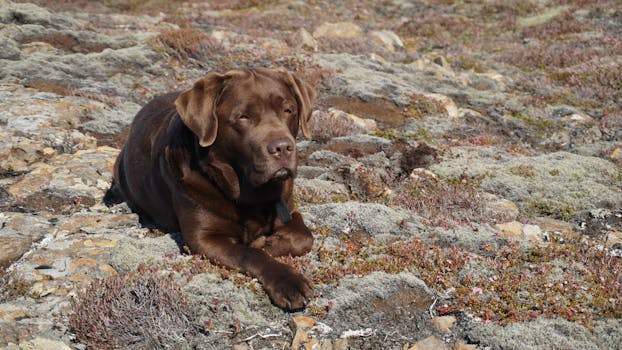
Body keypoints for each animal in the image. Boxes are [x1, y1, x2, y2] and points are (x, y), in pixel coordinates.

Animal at [111, 67, 314, 308]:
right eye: (243, 116)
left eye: (288, 110)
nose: (282, 147)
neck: (250, 194)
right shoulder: (205, 237)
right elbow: (249, 253)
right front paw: (287, 280)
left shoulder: (288, 207)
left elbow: (304, 237)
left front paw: (272, 243)